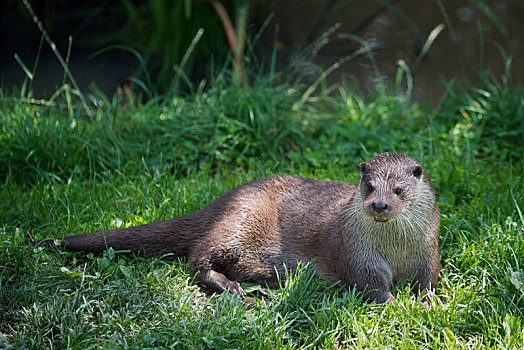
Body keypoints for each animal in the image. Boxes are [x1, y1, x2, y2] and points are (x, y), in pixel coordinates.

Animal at [34, 153, 440, 304]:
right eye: (369, 187)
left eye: (399, 190)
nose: (379, 205)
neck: (396, 249)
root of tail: (223, 199)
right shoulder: (358, 254)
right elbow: (372, 286)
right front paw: (399, 304)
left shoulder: (429, 249)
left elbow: (430, 277)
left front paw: (429, 300)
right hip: (237, 223)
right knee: (197, 260)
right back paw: (230, 287)